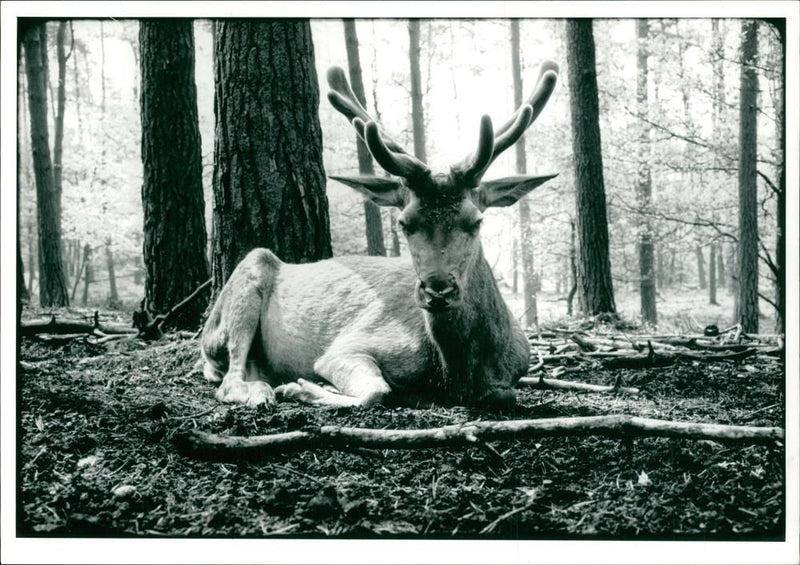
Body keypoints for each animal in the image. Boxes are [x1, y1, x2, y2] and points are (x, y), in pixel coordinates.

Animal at [200, 59, 560, 408]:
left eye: (476, 221)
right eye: (404, 222)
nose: (437, 290)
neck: (456, 373)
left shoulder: (515, 370)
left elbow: (505, 395)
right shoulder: (346, 347)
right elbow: (377, 390)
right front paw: (303, 387)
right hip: (244, 283)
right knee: (230, 378)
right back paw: (264, 390)